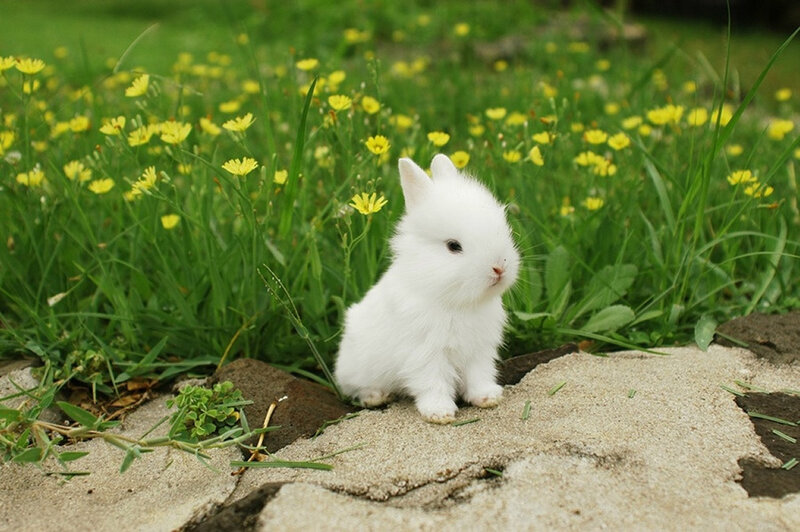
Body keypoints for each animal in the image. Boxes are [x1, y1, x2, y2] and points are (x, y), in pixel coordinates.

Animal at [335, 153, 520, 423]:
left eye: (504, 230)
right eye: (453, 246)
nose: (499, 268)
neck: (456, 301)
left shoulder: (479, 350)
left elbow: (479, 375)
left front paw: (487, 398)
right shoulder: (425, 354)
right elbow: (433, 383)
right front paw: (439, 413)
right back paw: (375, 397)